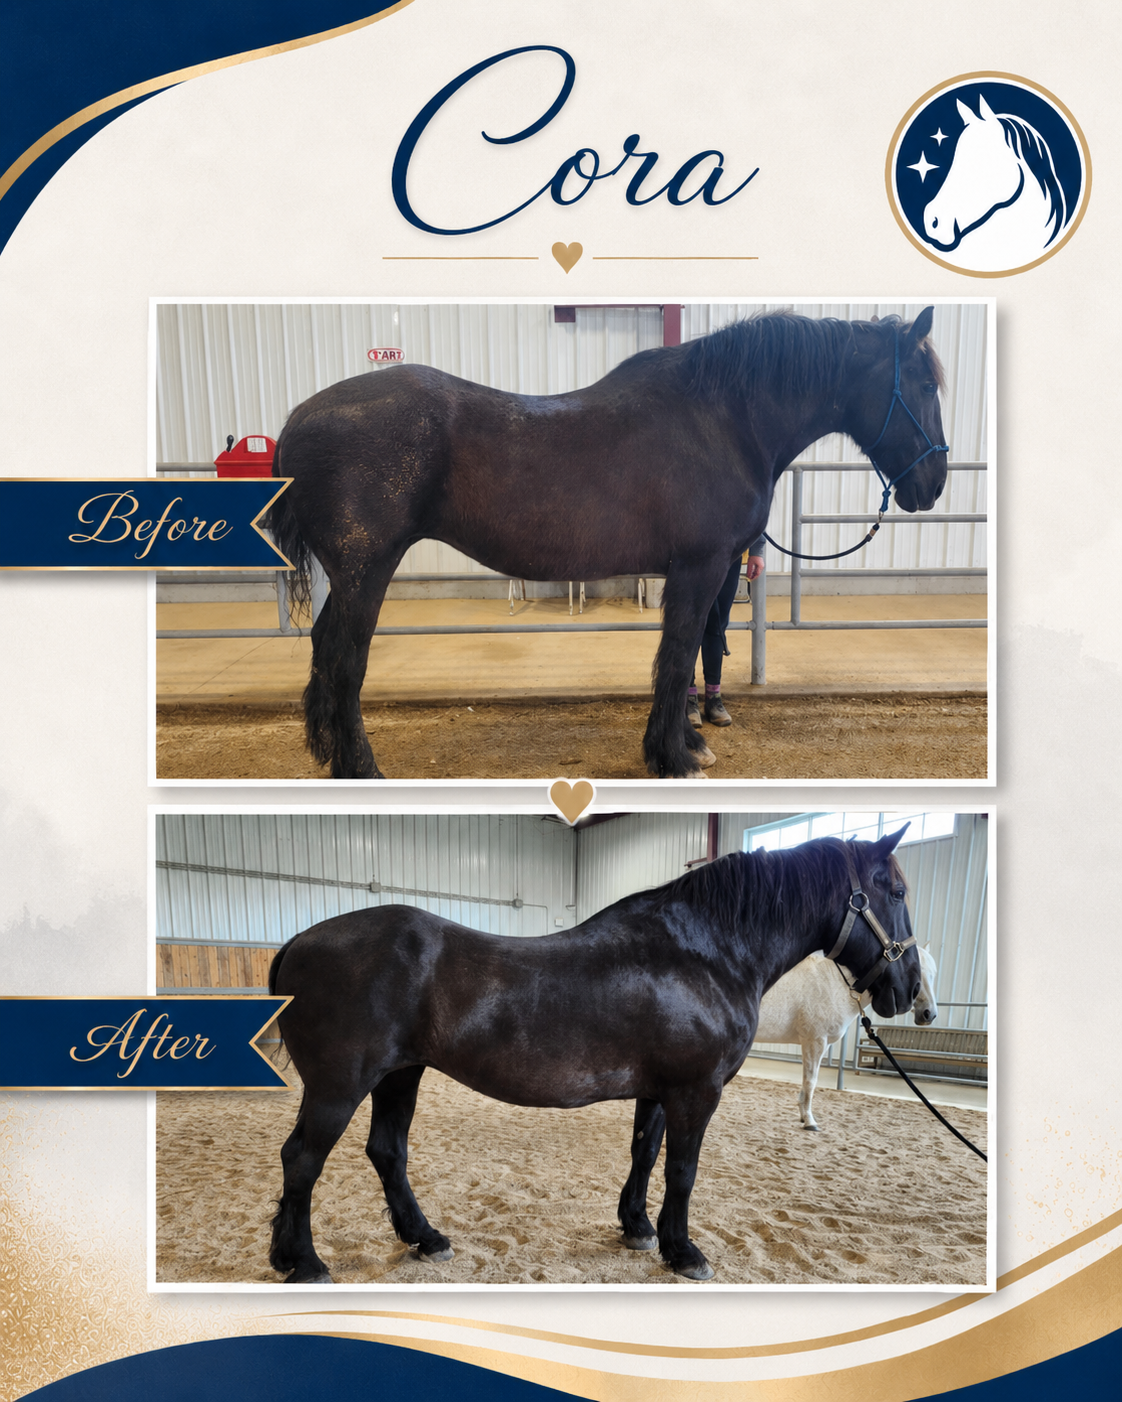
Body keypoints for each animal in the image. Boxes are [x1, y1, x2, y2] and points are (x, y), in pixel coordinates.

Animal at [264, 309, 949, 779]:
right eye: (923, 384)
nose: (934, 484)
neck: (726, 419)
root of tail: (297, 420)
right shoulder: (699, 568)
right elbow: (676, 657)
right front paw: (673, 756)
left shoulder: (699, 572)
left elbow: (688, 655)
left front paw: (687, 742)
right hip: (367, 570)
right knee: (346, 661)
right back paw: (360, 767)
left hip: (351, 575)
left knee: (325, 648)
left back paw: (327, 752)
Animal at [755, 945, 937, 1131]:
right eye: (917, 972)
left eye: (934, 974)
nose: (929, 1014)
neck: (835, 985)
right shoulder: (815, 1041)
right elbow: (810, 1081)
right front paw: (810, 1122)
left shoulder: (821, 1044)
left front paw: (803, 1115)